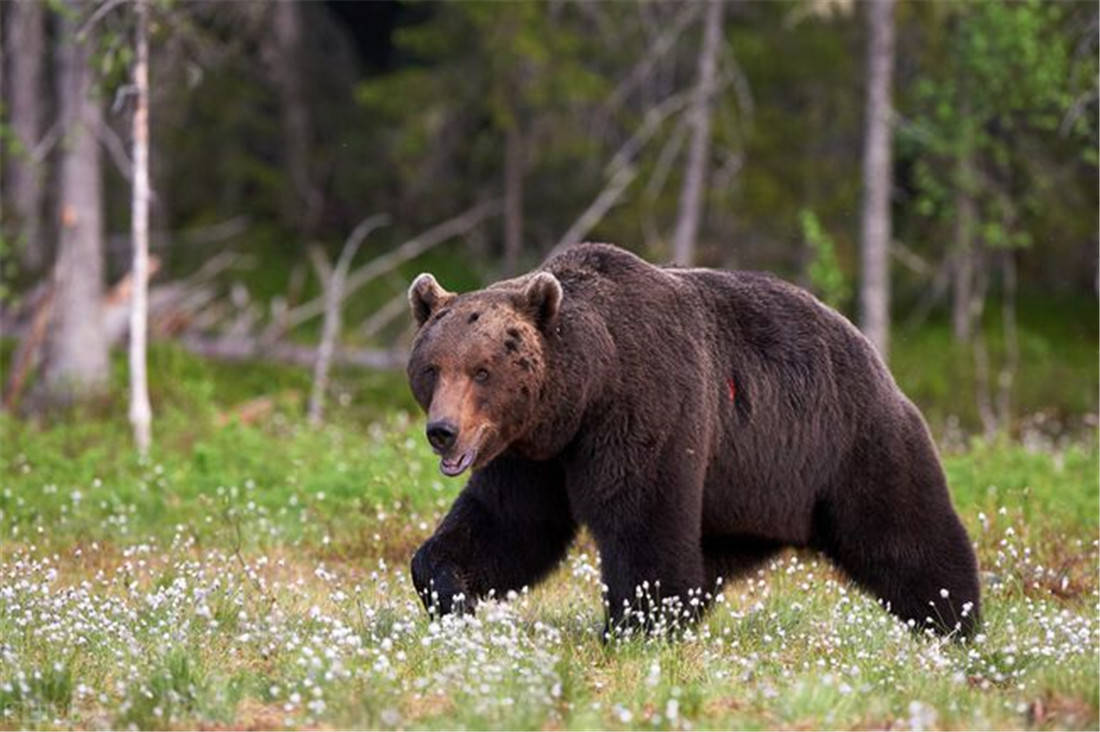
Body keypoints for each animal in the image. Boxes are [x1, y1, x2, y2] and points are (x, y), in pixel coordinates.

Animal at [404, 242, 981, 638]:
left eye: (482, 370)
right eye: (432, 367)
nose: (443, 432)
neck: (584, 393)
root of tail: (871, 350)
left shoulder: (648, 406)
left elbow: (643, 520)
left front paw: (633, 627)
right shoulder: (531, 452)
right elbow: (508, 525)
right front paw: (449, 591)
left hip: (849, 444)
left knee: (905, 532)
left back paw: (955, 621)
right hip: (745, 492)